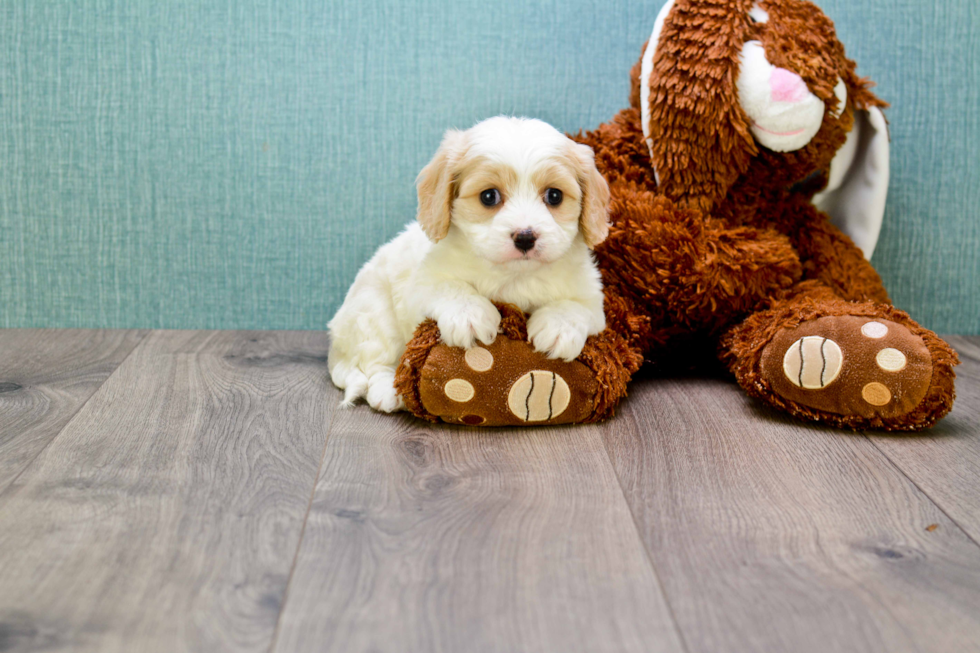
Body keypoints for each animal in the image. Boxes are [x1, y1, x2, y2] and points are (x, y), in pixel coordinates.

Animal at [328, 114, 612, 410]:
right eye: (489, 196)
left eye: (554, 196)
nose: (525, 237)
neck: (516, 276)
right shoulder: (422, 283)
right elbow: (451, 287)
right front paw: (470, 315)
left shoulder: (593, 301)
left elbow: (574, 306)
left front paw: (558, 327)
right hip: (373, 314)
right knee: (376, 362)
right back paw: (389, 390)